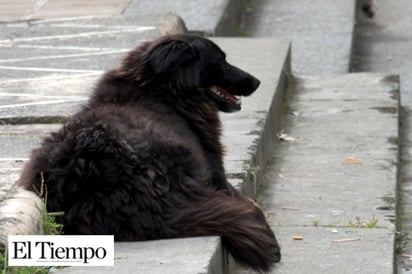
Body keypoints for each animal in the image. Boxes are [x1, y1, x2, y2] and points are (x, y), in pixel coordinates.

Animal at [20, 34, 282, 272]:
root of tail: (85, 164)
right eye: (221, 60)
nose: (256, 82)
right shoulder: (217, 175)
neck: (162, 93)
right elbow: (246, 199)